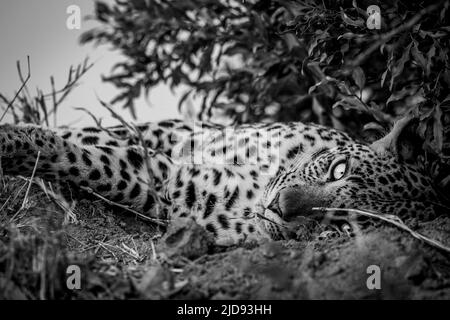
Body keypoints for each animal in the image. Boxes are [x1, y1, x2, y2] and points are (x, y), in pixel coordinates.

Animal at [0, 117, 448, 245]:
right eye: (337, 169)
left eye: (341, 225)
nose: (280, 207)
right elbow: (81, 144)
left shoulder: (172, 190)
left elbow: (92, 161)